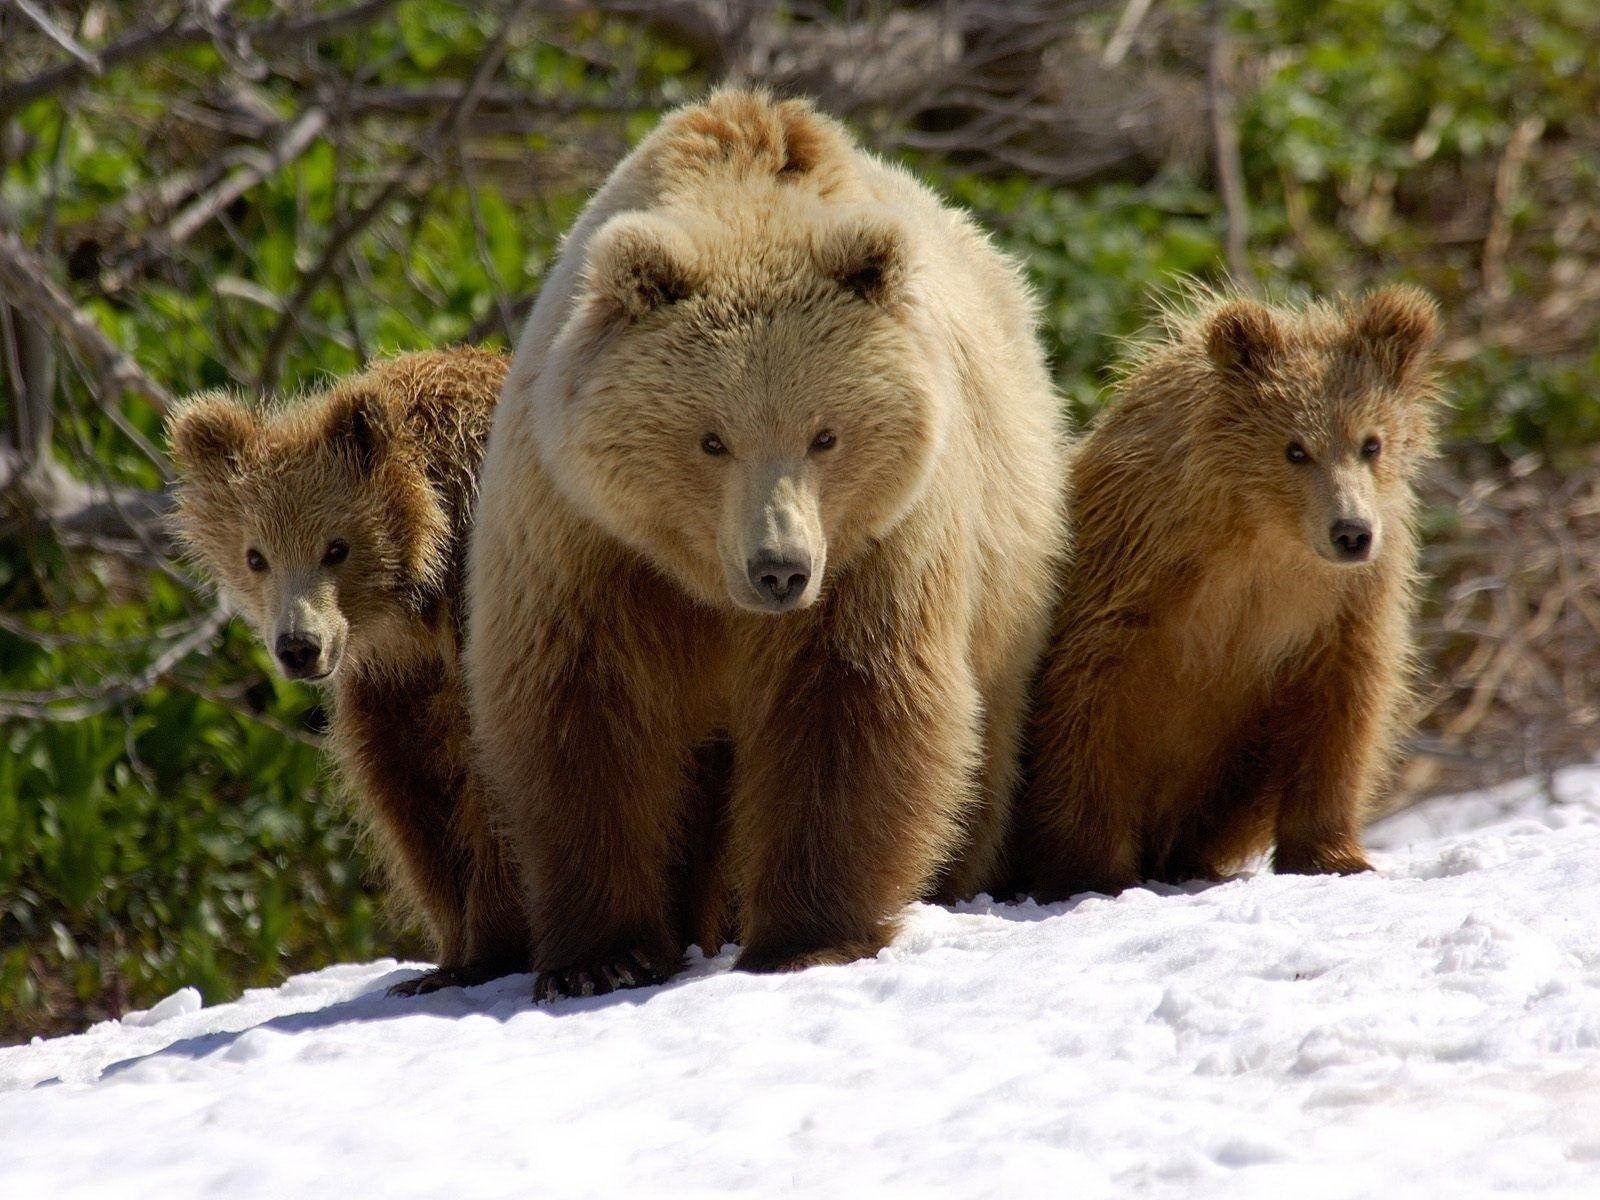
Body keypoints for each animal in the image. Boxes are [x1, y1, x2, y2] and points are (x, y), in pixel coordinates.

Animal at [166, 348, 529, 995]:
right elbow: (408, 792)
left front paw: (490, 949)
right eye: (256, 556)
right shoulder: (394, 683)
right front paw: (445, 956)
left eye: (336, 547)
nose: (298, 646)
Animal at [465, 88, 1069, 1000]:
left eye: (826, 434)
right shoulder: (587, 542)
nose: (779, 568)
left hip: (1008, 569)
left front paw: (806, 937)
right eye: (712, 439)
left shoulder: (877, 546)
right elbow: (584, 717)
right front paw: (603, 956)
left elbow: (850, 706)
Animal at [1016, 285, 1442, 899]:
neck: (1263, 537)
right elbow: (1086, 708)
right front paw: (1091, 869)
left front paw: (1333, 855)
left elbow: (1342, 711)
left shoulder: (1342, 607)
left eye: (1371, 443)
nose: (1351, 532)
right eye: (1295, 449)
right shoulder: (1134, 577)